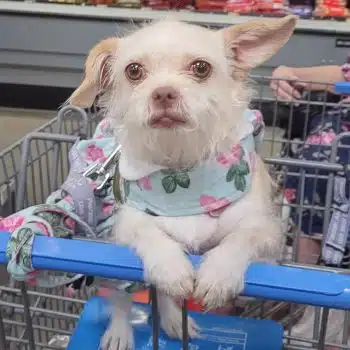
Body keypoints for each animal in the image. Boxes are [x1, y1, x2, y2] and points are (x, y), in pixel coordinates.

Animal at [71, 16, 298, 350]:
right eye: (134, 70)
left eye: (201, 68)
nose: (163, 93)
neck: (182, 174)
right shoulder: (125, 225)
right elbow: (148, 234)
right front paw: (171, 266)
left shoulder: (268, 234)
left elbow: (242, 238)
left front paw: (218, 274)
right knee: (124, 298)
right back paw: (121, 330)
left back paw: (172, 321)